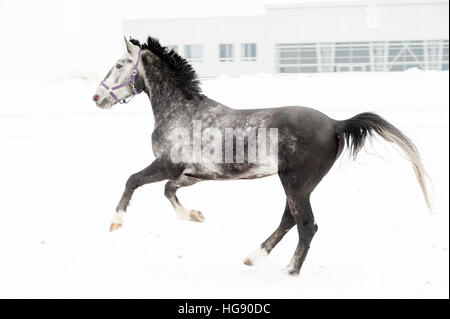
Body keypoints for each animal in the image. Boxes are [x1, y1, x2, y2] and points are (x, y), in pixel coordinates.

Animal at [92, 36, 432, 276]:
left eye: (120, 64)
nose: (97, 97)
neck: (181, 112)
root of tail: (336, 124)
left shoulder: (167, 164)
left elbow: (133, 180)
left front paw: (115, 223)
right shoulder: (191, 174)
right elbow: (168, 190)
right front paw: (194, 215)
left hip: (296, 183)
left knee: (305, 225)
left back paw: (289, 271)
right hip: (298, 185)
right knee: (289, 220)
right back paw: (253, 258)